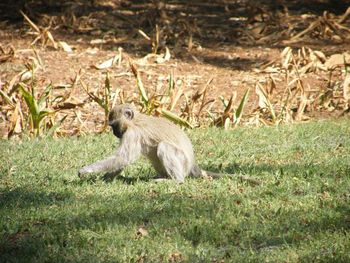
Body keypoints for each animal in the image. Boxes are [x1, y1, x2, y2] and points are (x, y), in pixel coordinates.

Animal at [78, 103, 260, 186]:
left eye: (113, 125)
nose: (115, 133)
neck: (136, 120)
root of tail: (193, 165)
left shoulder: (132, 134)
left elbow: (122, 158)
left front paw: (86, 171)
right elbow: (121, 161)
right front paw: (103, 178)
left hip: (183, 163)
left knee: (163, 147)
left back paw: (175, 180)